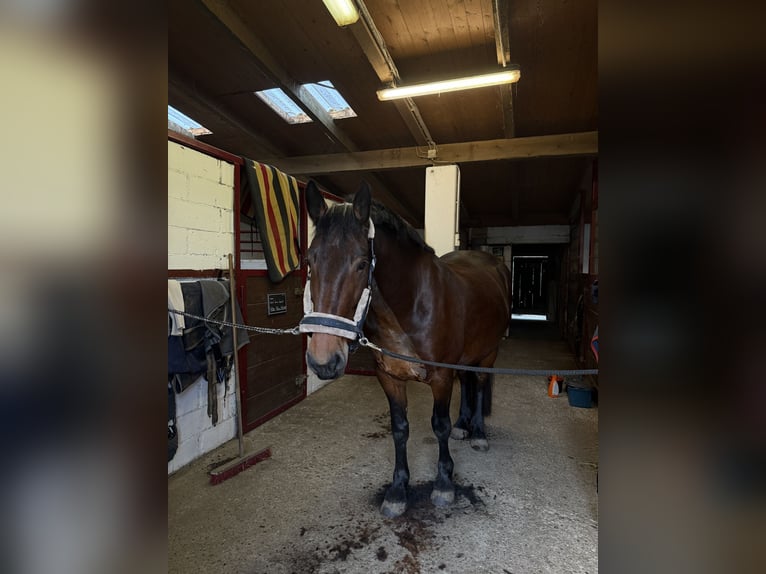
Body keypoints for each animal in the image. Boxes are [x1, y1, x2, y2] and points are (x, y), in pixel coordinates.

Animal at [300, 180, 511, 518]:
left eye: (361, 264)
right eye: (310, 261)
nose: (323, 360)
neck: (410, 306)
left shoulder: (441, 377)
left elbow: (439, 425)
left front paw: (444, 484)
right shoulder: (389, 378)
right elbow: (399, 429)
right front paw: (398, 490)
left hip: (488, 353)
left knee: (478, 384)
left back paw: (478, 433)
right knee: (467, 383)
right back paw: (463, 426)